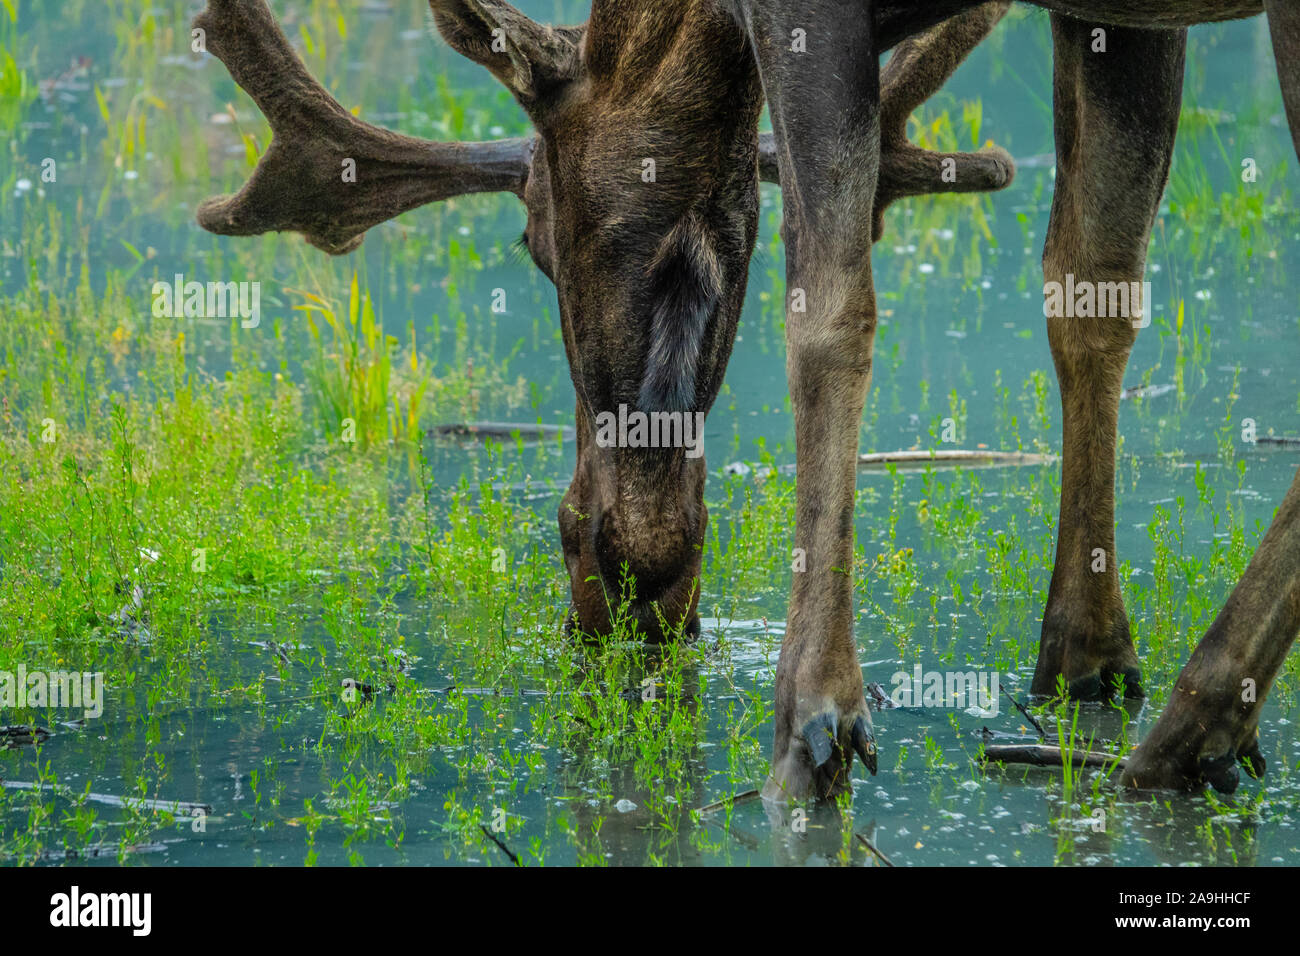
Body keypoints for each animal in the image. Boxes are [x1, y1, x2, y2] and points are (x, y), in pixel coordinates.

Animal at [192, 0, 1300, 806]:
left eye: (534, 241)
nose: (624, 572)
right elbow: (1092, 284)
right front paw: (1086, 652)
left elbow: (831, 303)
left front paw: (815, 714)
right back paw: (1196, 723)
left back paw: (1197, 719)